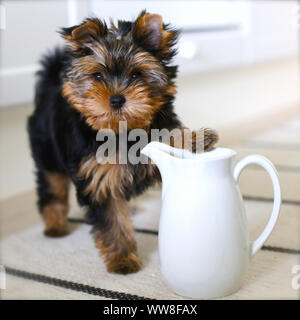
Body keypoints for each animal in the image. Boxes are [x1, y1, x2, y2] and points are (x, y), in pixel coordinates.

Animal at [27, 11, 218, 274]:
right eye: (98, 76)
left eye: (137, 74)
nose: (117, 99)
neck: (122, 131)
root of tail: (49, 88)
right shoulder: (98, 178)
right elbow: (113, 221)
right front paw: (123, 260)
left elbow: (165, 139)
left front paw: (195, 140)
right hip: (48, 154)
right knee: (52, 186)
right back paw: (55, 224)